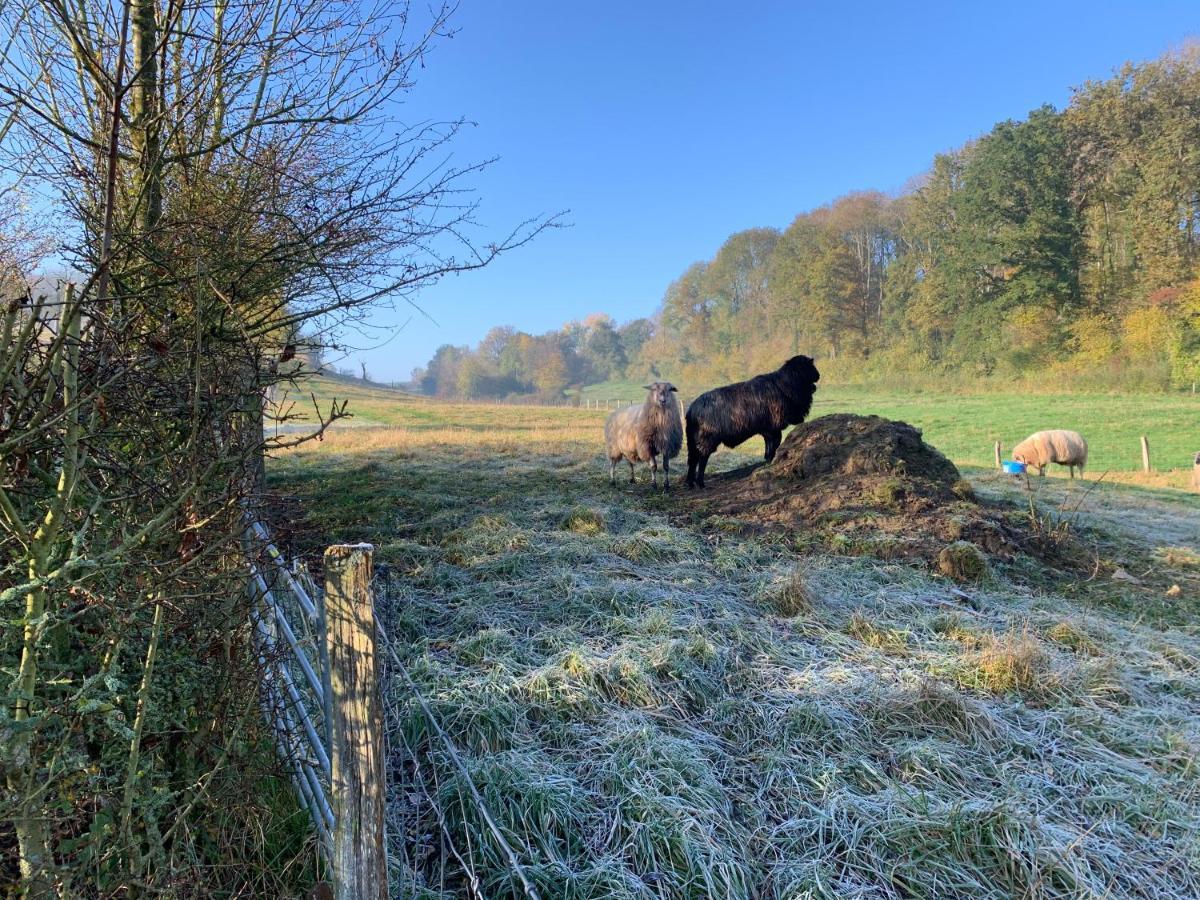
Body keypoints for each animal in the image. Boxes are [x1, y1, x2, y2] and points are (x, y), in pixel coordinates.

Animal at [691, 355, 820, 489]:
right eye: (809, 366)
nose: (818, 376)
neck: (784, 385)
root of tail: (692, 409)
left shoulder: (767, 429)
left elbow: (769, 446)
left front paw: (767, 461)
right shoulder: (773, 427)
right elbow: (774, 444)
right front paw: (770, 461)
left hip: (693, 440)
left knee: (692, 460)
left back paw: (691, 483)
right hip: (707, 439)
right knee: (702, 459)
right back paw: (700, 483)